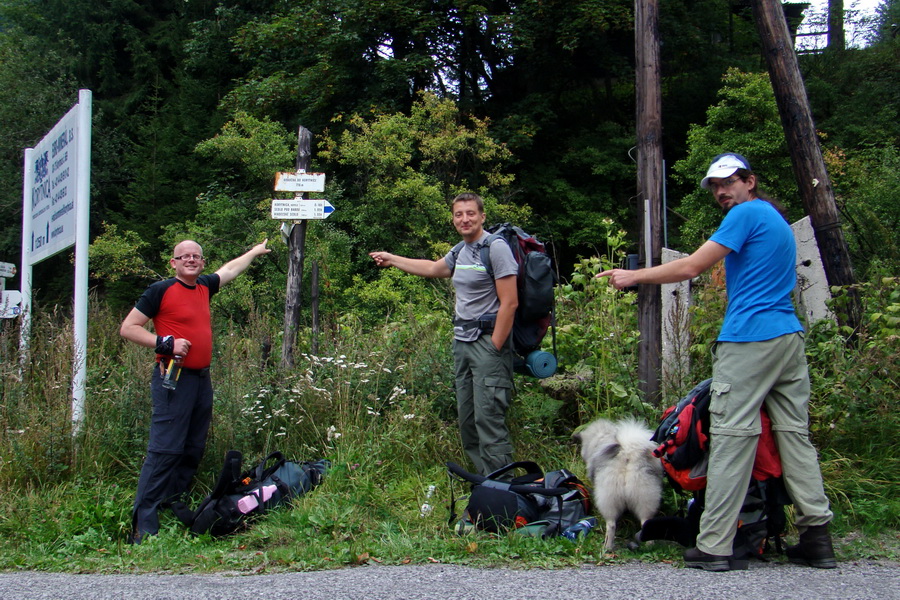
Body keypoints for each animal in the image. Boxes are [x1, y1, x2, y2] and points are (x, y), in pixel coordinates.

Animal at [572, 418, 664, 548]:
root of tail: (628, 454)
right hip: (645, 497)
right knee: (645, 522)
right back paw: (649, 545)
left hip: (608, 499)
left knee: (611, 525)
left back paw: (607, 547)